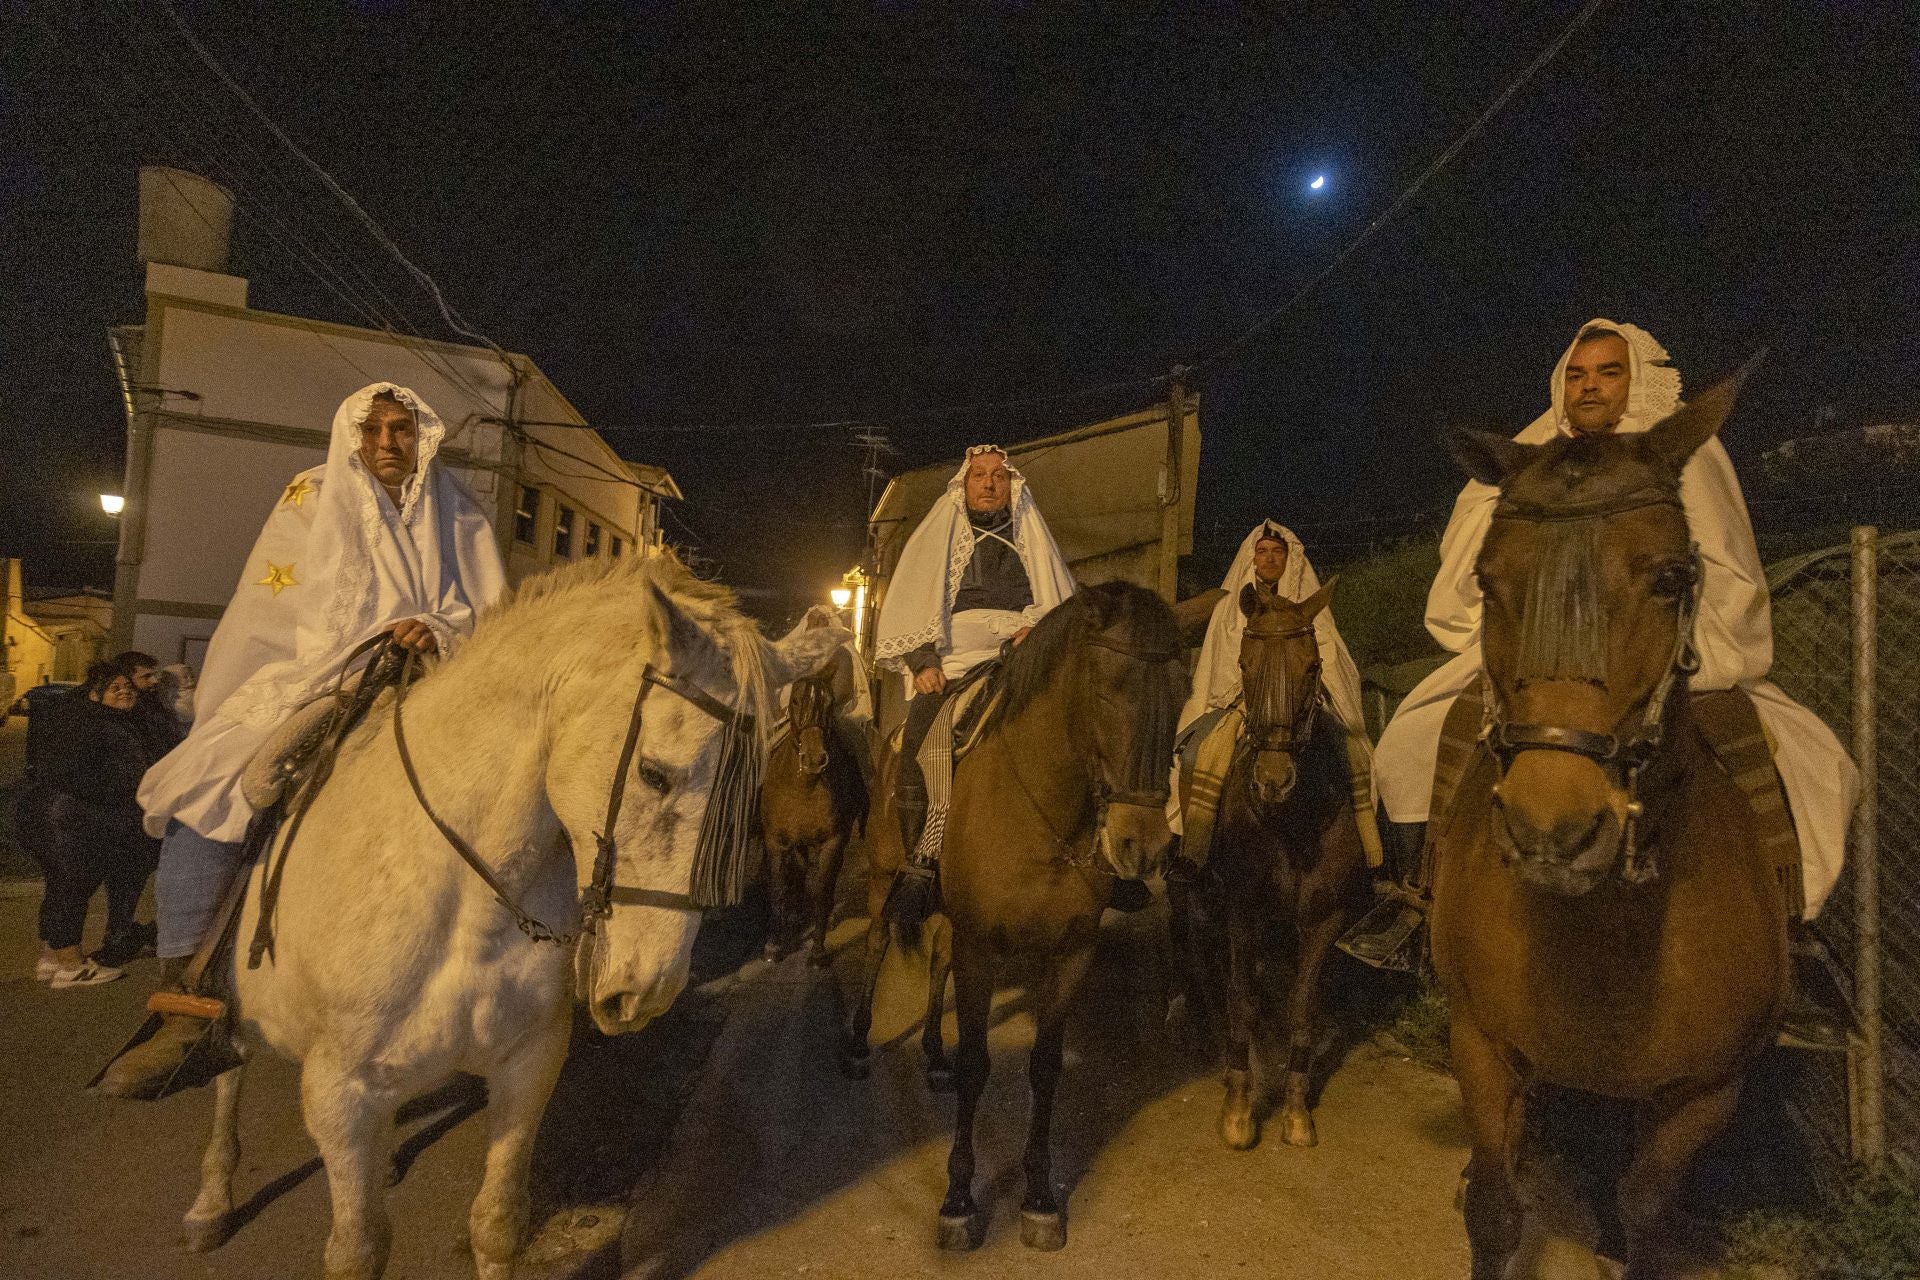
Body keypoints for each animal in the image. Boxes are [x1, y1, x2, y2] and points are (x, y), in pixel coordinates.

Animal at [183, 552, 844, 1280]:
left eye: (751, 794)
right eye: (653, 774)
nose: (647, 991)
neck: (462, 908)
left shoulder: (528, 1066)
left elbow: (497, 1225)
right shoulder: (340, 1097)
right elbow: (356, 1250)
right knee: (228, 1074)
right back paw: (211, 1200)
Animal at [756, 656, 871, 967]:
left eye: (830, 703)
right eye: (796, 701)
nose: (814, 759)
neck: (804, 787)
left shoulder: (832, 843)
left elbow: (823, 894)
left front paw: (818, 951)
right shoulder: (775, 842)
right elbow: (777, 892)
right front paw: (774, 946)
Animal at [933, 583, 1182, 1251]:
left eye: (1181, 693)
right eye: (1107, 688)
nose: (1142, 845)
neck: (1039, 816)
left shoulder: (1072, 950)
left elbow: (1045, 1069)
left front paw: (1040, 1195)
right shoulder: (976, 945)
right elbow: (974, 1065)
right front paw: (959, 1199)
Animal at [1182, 579, 1382, 1151]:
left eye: (1313, 666)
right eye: (1244, 664)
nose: (1273, 780)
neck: (1290, 821)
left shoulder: (1323, 920)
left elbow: (1301, 1009)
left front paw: (1294, 1111)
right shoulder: (1242, 910)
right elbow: (1242, 1001)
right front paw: (1238, 1107)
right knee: (1206, 960)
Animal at [1436, 362, 1789, 1280]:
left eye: (1668, 578)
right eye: (1487, 583)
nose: (1551, 831)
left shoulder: (1705, 1093)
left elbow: (1647, 1214)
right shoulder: (1479, 1043)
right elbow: (1496, 1208)